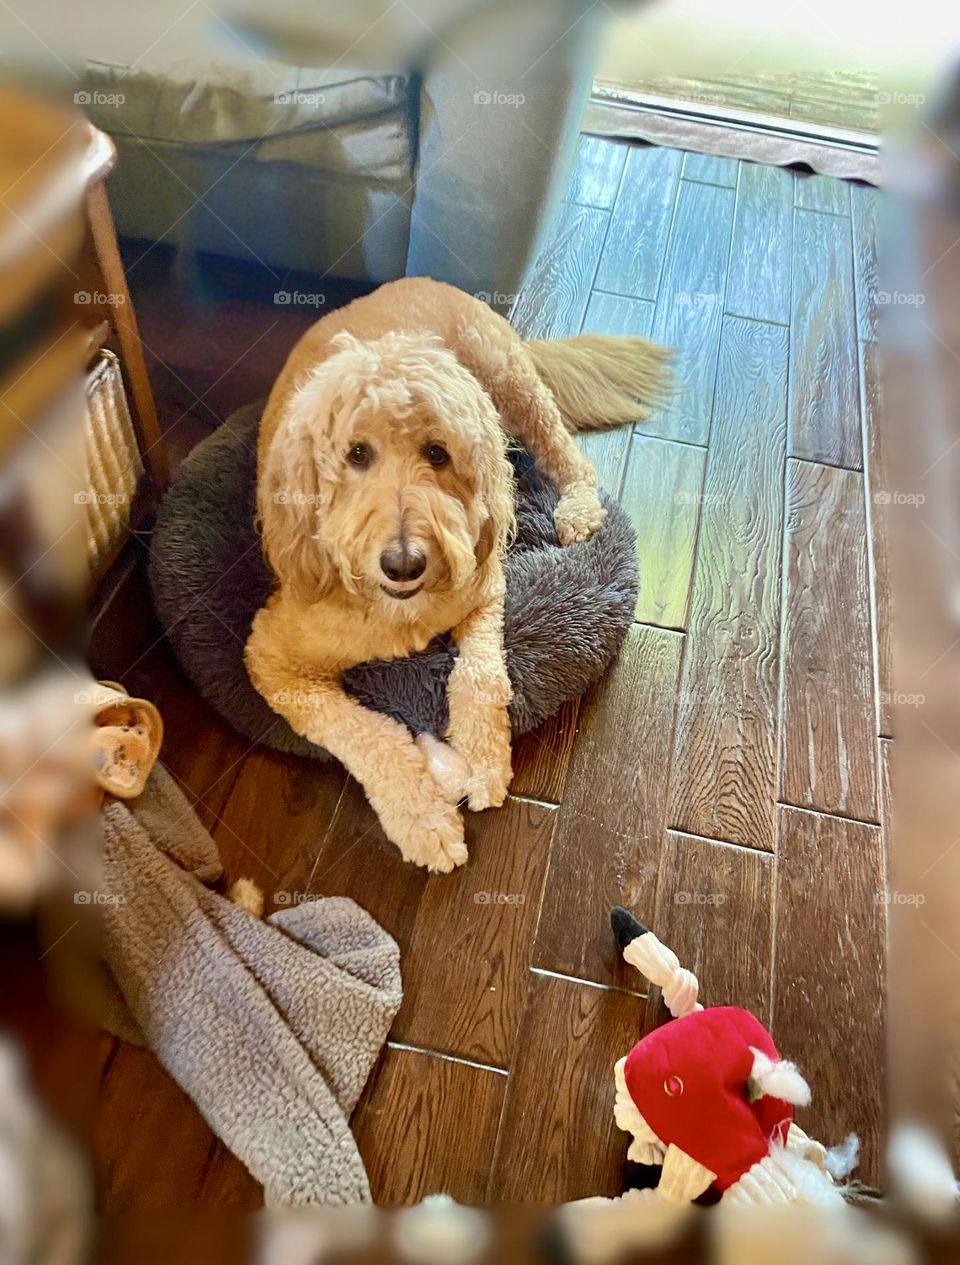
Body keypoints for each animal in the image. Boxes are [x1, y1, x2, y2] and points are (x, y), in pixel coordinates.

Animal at [245, 279, 667, 870]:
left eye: (438, 453)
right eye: (356, 453)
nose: (405, 563)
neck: (399, 610)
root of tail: (426, 282)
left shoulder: (484, 588)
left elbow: (481, 675)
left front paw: (485, 762)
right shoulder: (273, 662)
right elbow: (366, 734)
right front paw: (424, 820)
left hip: (511, 384)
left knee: (567, 454)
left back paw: (579, 508)